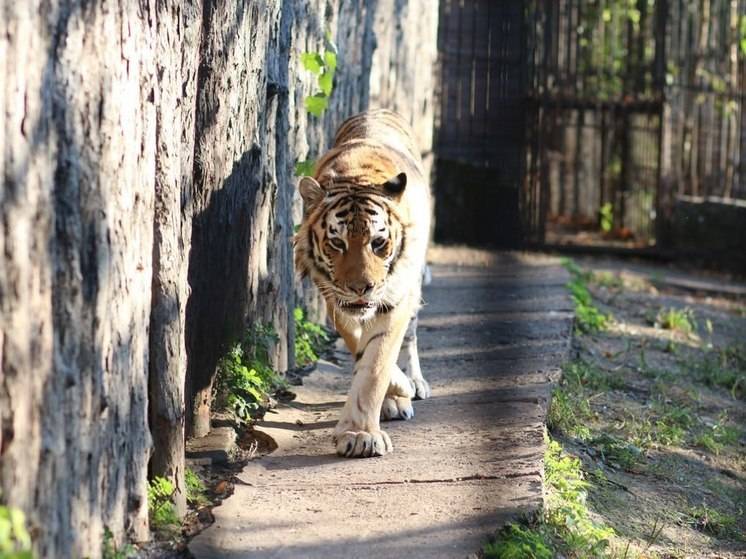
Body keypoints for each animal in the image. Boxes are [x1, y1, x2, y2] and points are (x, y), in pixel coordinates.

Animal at [292, 109, 430, 460]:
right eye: (337, 243)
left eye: (378, 243)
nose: (361, 287)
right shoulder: (334, 297)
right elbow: (360, 347)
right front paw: (394, 393)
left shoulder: (395, 298)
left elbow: (376, 365)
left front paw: (360, 434)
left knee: (410, 336)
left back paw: (415, 383)